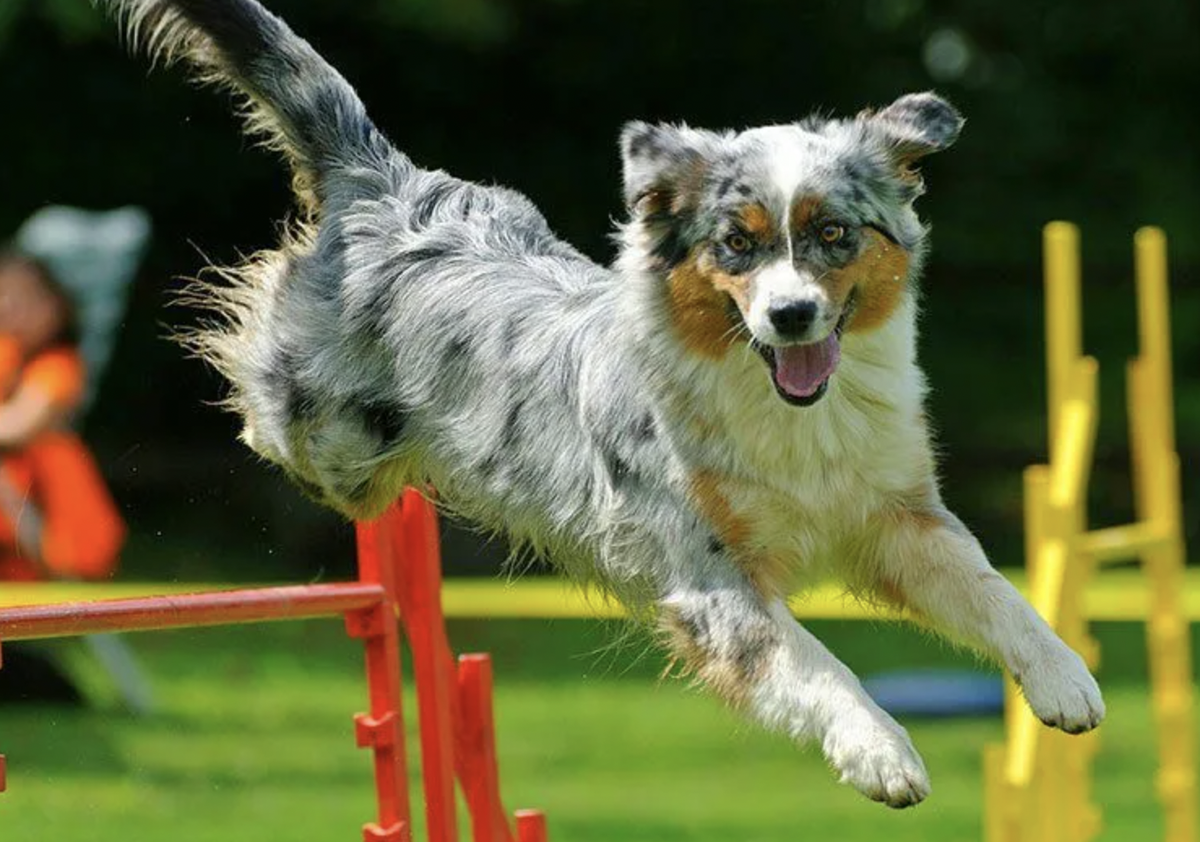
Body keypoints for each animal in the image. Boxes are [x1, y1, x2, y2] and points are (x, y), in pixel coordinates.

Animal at [98, 0, 1099, 806]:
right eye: (736, 245)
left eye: (832, 233)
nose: (790, 314)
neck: (786, 414)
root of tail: (391, 184)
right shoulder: (710, 580)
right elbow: (818, 664)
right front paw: (883, 753)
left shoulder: (894, 517)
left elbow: (997, 592)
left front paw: (1065, 681)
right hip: (333, 444)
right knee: (262, 374)